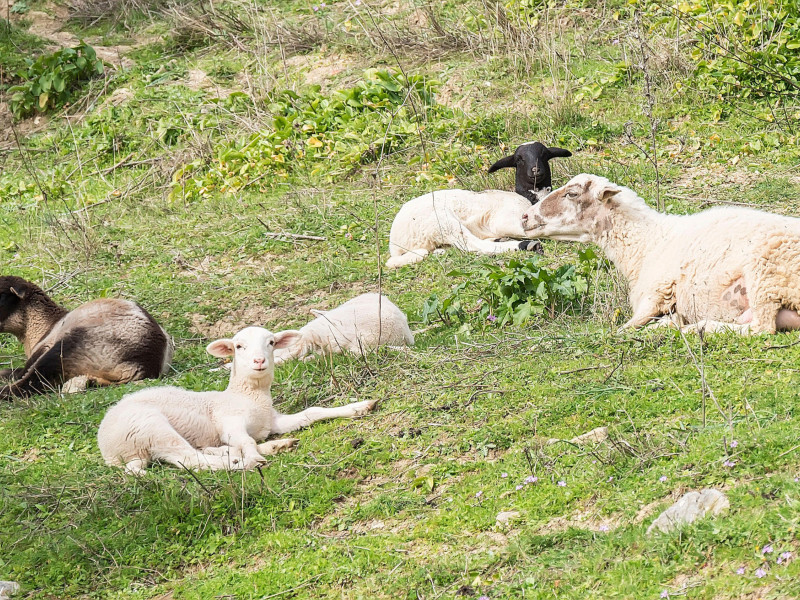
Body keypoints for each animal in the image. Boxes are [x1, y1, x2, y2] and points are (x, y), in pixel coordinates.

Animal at [0, 276, 174, 398]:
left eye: (1, 297)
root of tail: (146, 364)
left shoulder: (45, 347)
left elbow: (21, 372)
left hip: (72, 348)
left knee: (33, 381)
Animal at [96, 326, 376, 476]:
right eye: (239, 346)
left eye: (271, 342)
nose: (259, 361)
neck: (246, 397)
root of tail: (109, 450)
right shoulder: (229, 422)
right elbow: (246, 441)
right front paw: (252, 457)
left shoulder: (272, 421)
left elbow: (312, 412)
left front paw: (359, 407)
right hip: (152, 428)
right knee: (191, 460)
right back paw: (238, 461)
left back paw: (271, 446)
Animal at [520, 173, 800, 336]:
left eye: (572, 194)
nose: (524, 217)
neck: (648, 243)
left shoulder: (655, 293)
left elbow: (624, 329)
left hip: (765, 274)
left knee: (762, 328)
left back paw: (697, 328)